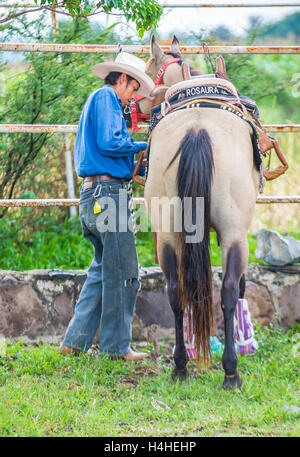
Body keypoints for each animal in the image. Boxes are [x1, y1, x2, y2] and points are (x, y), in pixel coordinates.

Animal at [136, 37, 260, 390]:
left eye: (146, 72)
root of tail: (196, 130)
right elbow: (241, 285)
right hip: (233, 233)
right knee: (229, 290)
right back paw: (231, 371)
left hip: (167, 233)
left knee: (176, 291)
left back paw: (180, 364)